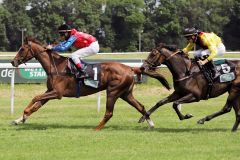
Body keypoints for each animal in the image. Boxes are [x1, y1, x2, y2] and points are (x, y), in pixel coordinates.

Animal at [9, 37, 171, 131]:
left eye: (22, 49)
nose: (12, 61)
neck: (56, 66)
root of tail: (130, 68)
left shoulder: (57, 93)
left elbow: (35, 97)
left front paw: (24, 114)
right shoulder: (50, 91)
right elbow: (37, 105)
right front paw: (19, 119)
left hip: (113, 91)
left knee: (109, 112)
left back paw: (96, 128)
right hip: (126, 93)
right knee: (140, 106)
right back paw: (150, 124)